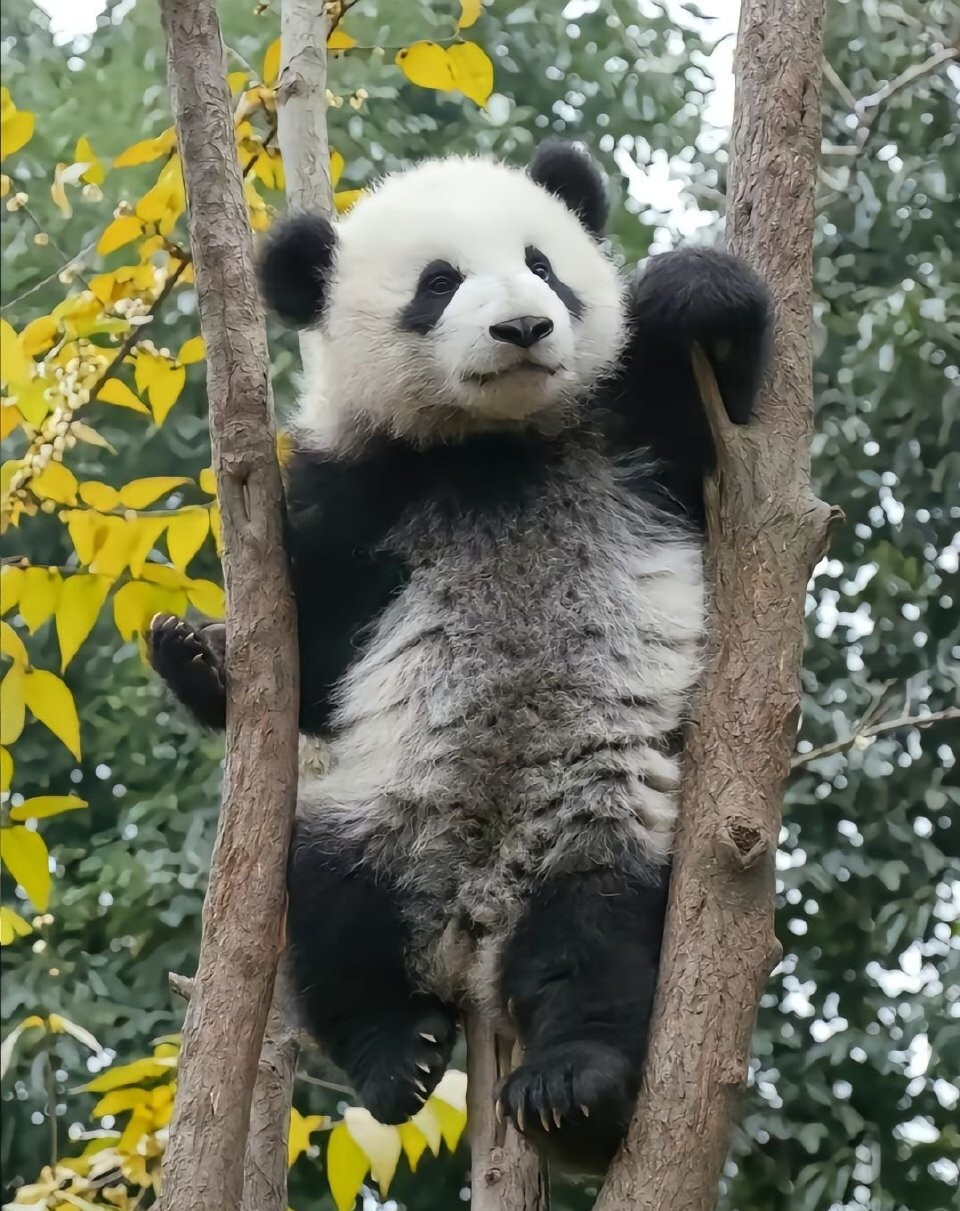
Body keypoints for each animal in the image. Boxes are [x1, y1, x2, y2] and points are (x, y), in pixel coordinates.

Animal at [145, 139, 769, 1172]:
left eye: (543, 262)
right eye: (437, 285)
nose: (523, 326)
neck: (492, 448)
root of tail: (474, 915)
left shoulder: (631, 442)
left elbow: (745, 474)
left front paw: (695, 290)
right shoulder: (352, 491)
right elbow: (319, 668)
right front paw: (196, 651)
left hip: (608, 815)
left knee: (599, 940)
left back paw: (574, 1089)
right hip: (381, 813)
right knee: (330, 908)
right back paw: (397, 1053)